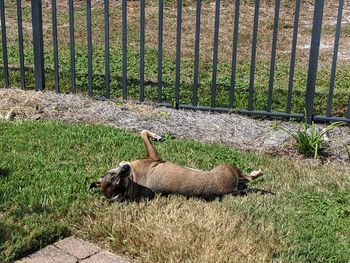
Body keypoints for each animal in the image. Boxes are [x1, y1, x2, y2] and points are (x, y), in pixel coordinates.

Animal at [91, 130, 262, 202]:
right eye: (117, 180)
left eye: (113, 176)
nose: (126, 168)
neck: (132, 179)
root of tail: (230, 190)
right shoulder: (155, 157)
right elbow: (143, 132)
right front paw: (157, 136)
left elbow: (142, 133)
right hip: (227, 167)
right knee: (247, 177)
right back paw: (257, 173)